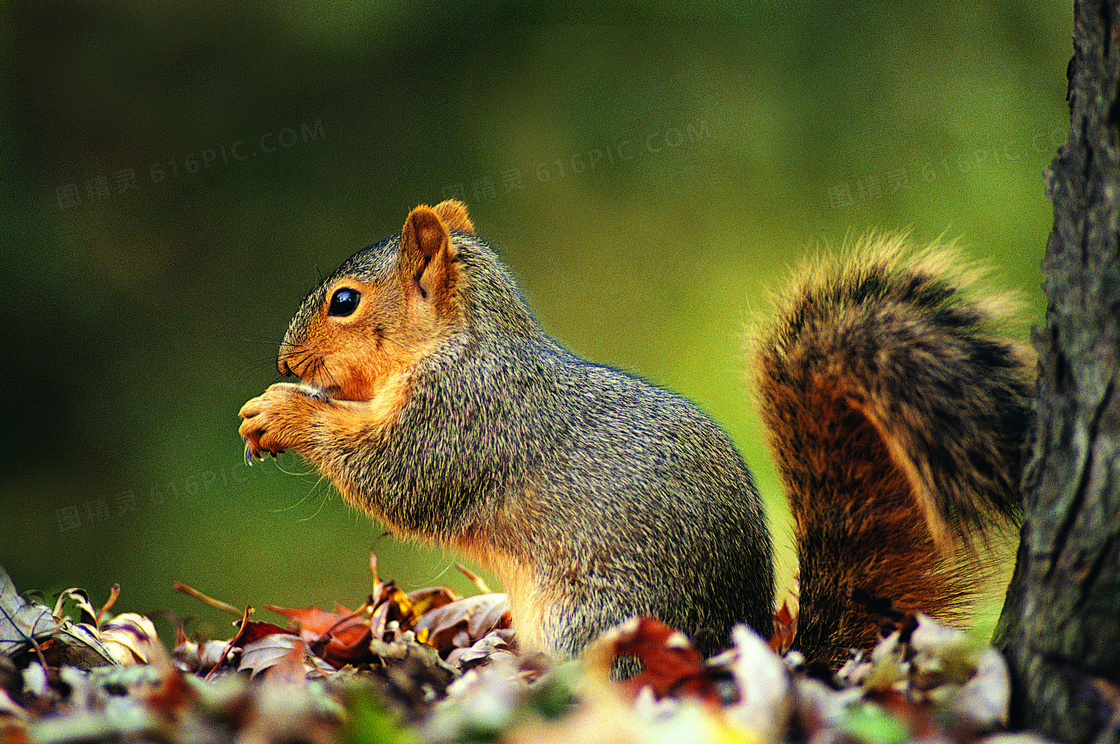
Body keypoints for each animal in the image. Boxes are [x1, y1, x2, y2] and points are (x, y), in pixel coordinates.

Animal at [236, 200, 1030, 672]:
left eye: (345, 302)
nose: (283, 361)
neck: (463, 341)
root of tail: (730, 646)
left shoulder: (465, 415)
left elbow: (398, 476)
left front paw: (282, 411)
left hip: (593, 619)